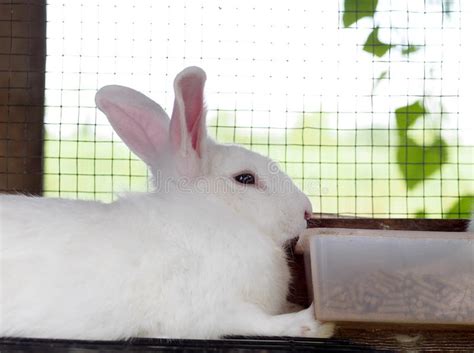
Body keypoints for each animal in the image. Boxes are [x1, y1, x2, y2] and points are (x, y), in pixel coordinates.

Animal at [0, 66, 336, 338]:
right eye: (245, 178)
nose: (307, 210)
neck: (214, 216)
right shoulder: (212, 309)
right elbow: (259, 322)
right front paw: (312, 322)